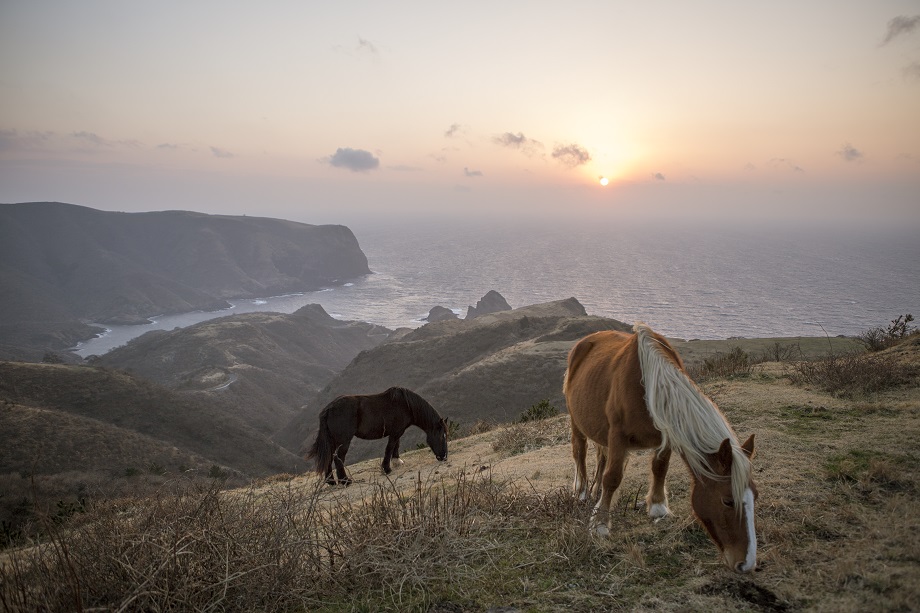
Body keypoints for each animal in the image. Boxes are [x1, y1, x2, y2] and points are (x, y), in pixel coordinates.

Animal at [304, 388, 448, 482]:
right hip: (343, 441)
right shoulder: (395, 432)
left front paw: (397, 461)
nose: (444, 457)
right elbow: (390, 448)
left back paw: (331, 482)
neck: (406, 405)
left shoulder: (397, 432)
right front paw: (387, 468)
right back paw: (345, 481)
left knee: (328, 457)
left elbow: (396, 446)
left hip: (333, 440)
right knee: (338, 458)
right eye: (442, 436)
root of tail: (328, 409)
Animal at [564, 322, 760, 572]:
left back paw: (596, 490)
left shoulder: (666, 434)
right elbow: (613, 478)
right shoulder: (618, 436)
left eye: (755, 496)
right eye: (728, 501)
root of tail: (587, 340)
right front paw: (600, 524)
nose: (747, 563)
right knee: (579, 451)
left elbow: (660, 468)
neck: (649, 387)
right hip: (576, 420)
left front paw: (657, 506)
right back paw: (581, 491)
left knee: (601, 456)